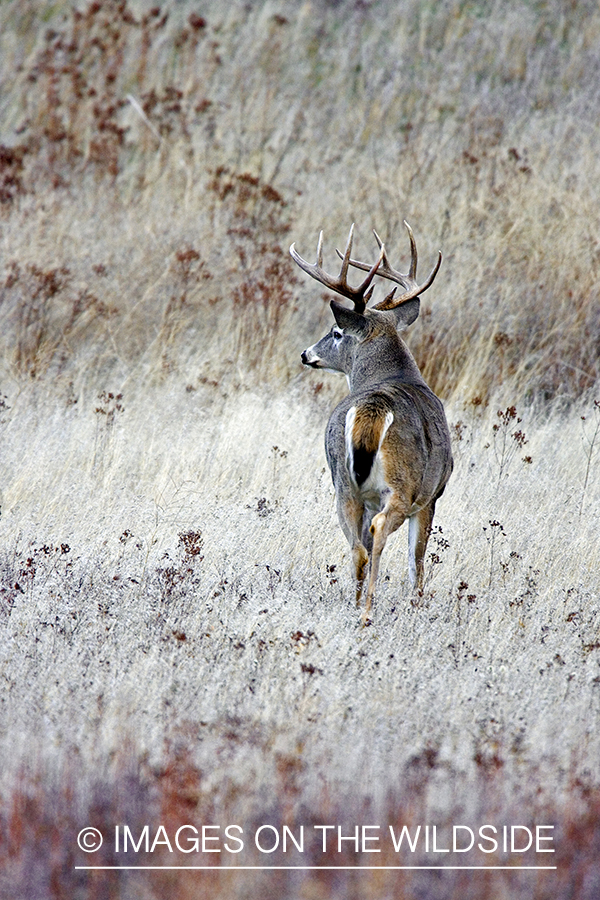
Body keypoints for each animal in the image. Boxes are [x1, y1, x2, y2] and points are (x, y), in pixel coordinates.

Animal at [290, 221, 450, 624]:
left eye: (335, 332)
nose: (305, 354)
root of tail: (372, 408)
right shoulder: (431, 495)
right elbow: (417, 560)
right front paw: (416, 605)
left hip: (342, 484)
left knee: (358, 547)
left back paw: (357, 605)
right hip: (403, 484)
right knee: (379, 533)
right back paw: (367, 612)